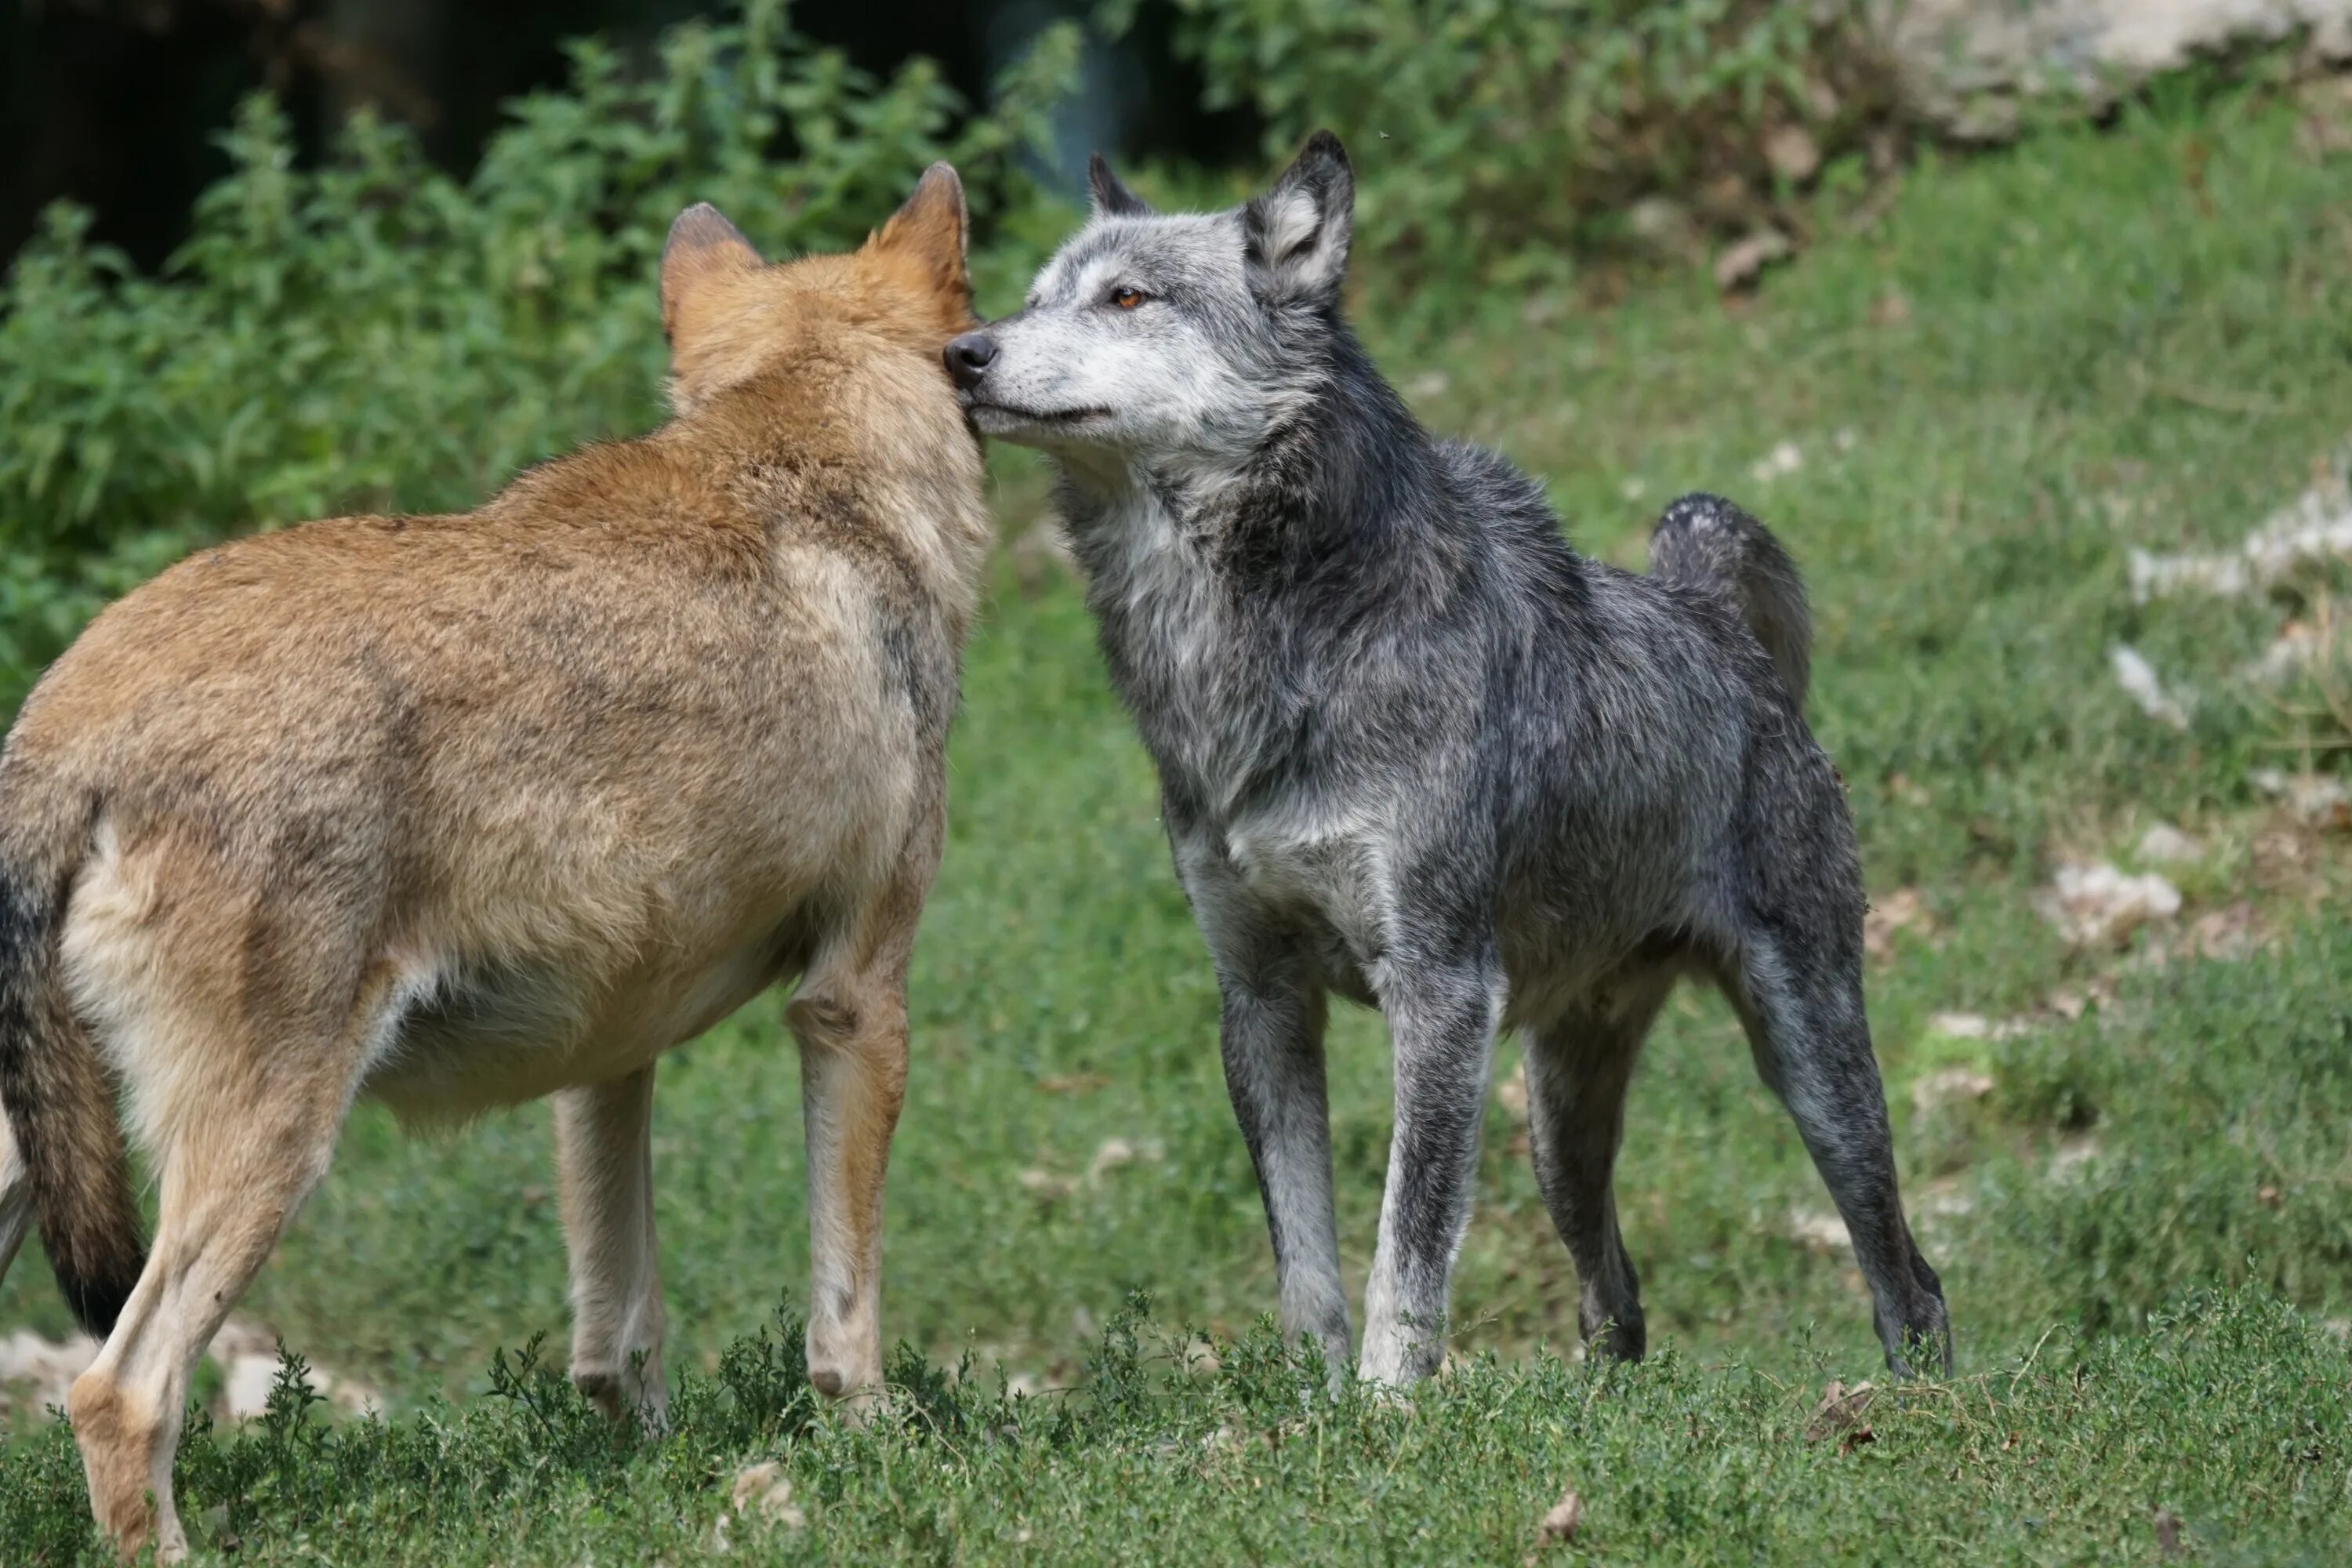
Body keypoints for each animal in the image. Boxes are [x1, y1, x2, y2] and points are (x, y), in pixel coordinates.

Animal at [0, 162, 983, 1561]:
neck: (812, 466)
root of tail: (65, 719)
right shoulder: (855, 1006)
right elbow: (845, 1316)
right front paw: (876, 1455)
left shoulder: (608, 1048)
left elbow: (619, 1332)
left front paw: (650, 1473)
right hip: (270, 1152)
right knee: (117, 1395)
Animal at [941, 131, 1947, 1382]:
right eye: (1031, 298)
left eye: (1126, 297)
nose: (960, 353)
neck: (1268, 647)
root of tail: (1706, 612)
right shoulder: (1259, 998)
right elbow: (1308, 1270)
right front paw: (1311, 1407)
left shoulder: (1438, 996)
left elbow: (1403, 1260)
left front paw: (1385, 1409)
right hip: (1556, 1127)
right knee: (1615, 1298)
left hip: (1806, 1065)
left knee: (1908, 1276)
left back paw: (1917, 1396)